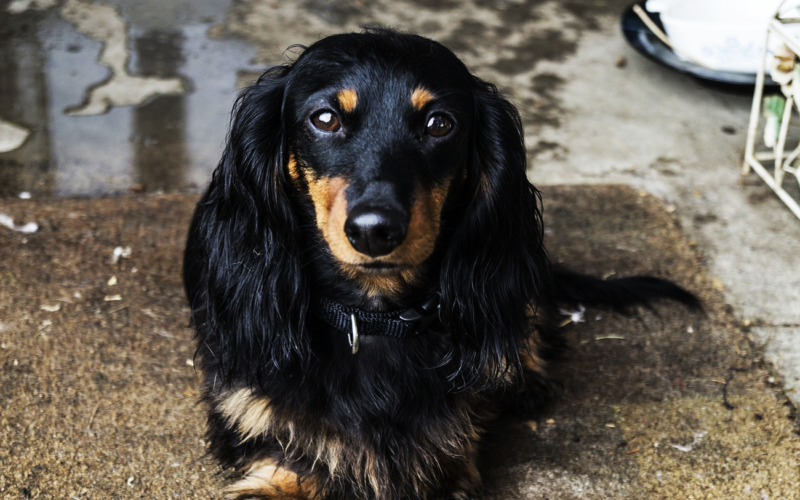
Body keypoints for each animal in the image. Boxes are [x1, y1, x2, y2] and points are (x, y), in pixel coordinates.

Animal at [183, 30, 700, 500]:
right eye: (325, 118)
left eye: (438, 124)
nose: (374, 230)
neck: (374, 319)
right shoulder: (270, 446)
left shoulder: (444, 461)